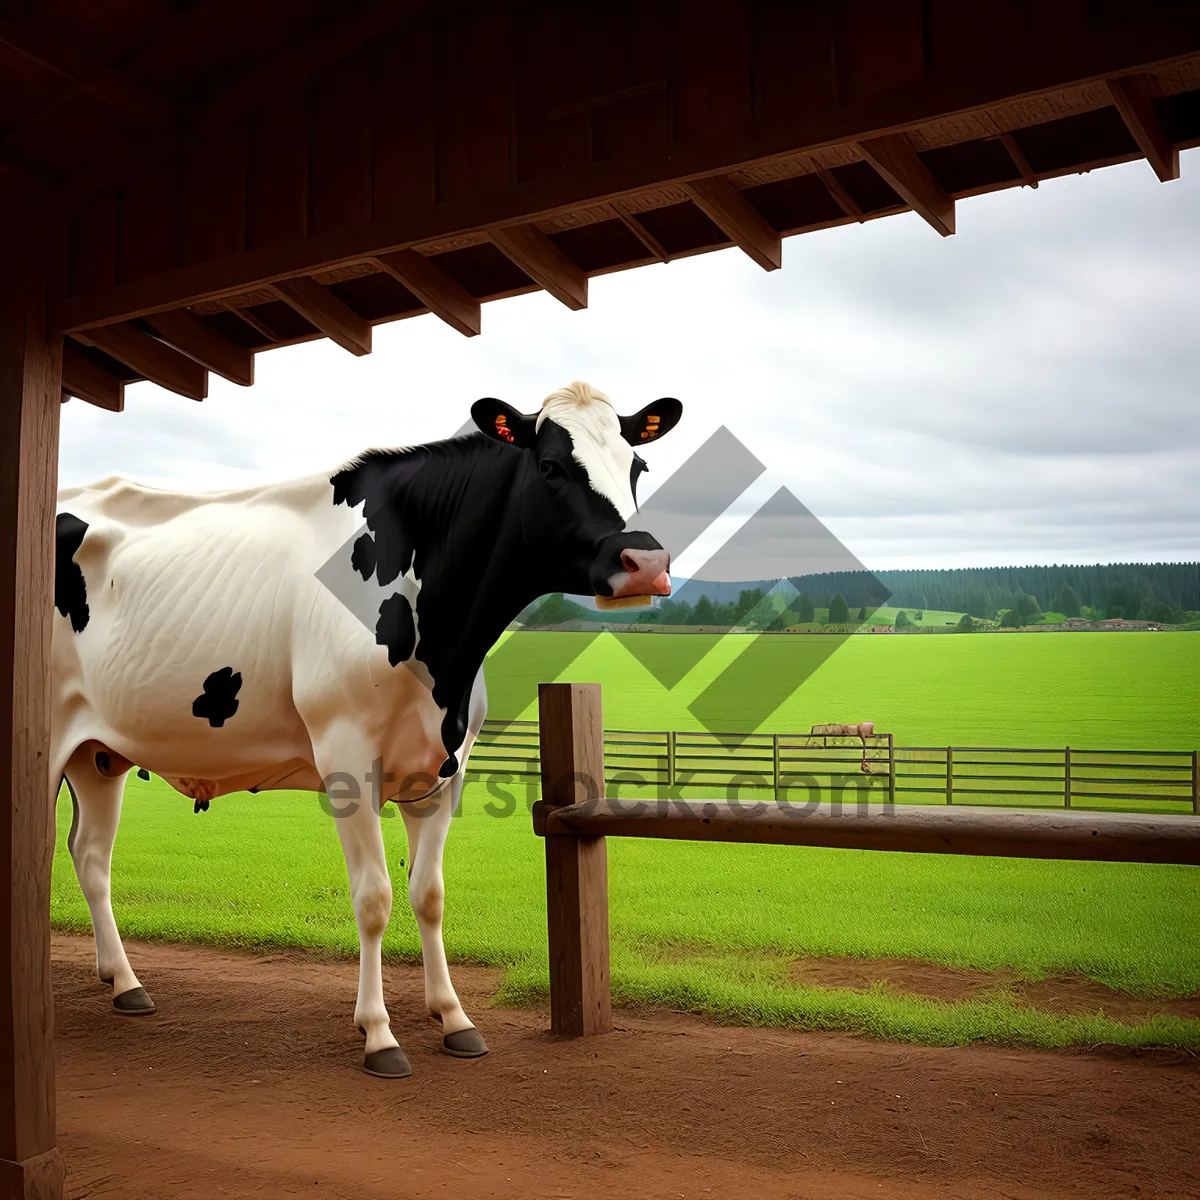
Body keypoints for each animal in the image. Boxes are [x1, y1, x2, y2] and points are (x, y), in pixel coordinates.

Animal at [51, 384, 681, 1080]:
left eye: (637, 465)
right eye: (549, 466)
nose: (645, 561)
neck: (445, 652)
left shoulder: (445, 769)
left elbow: (428, 893)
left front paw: (454, 1018)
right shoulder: (346, 757)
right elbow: (374, 897)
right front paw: (379, 1034)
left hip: (98, 754)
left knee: (91, 856)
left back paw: (125, 982)